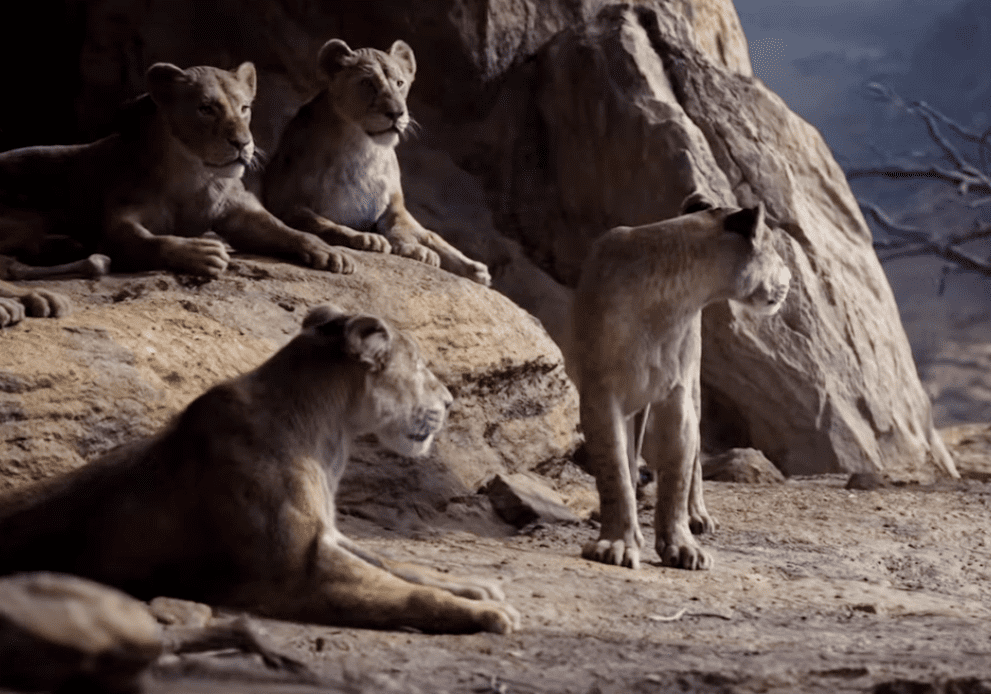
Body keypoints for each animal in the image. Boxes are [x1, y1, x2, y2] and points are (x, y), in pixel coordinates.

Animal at [0, 62, 354, 297]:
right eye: (206, 108)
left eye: (244, 108)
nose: (243, 143)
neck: (195, 175)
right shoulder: (116, 223)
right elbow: (149, 240)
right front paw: (201, 253)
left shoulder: (240, 213)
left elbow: (284, 229)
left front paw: (328, 251)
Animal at [0, 304, 520, 634]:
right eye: (420, 366)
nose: (449, 401)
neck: (329, 432)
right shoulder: (298, 572)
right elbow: (406, 592)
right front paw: (486, 615)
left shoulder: (330, 537)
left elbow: (401, 565)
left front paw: (476, 587)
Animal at [263, 39, 491, 286]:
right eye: (367, 83)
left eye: (400, 83)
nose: (397, 113)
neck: (364, 150)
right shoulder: (286, 204)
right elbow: (323, 224)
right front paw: (367, 238)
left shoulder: (394, 206)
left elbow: (405, 229)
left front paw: (415, 249)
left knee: (431, 234)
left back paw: (475, 269)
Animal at [568, 195, 791, 570]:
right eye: (773, 248)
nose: (789, 275)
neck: (673, 298)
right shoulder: (602, 395)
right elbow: (614, 471)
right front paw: (617, 542)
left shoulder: (677, 396)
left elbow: (677, 475)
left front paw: (682, 546)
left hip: (694, 392)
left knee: (696, 459)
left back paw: (697, 516)